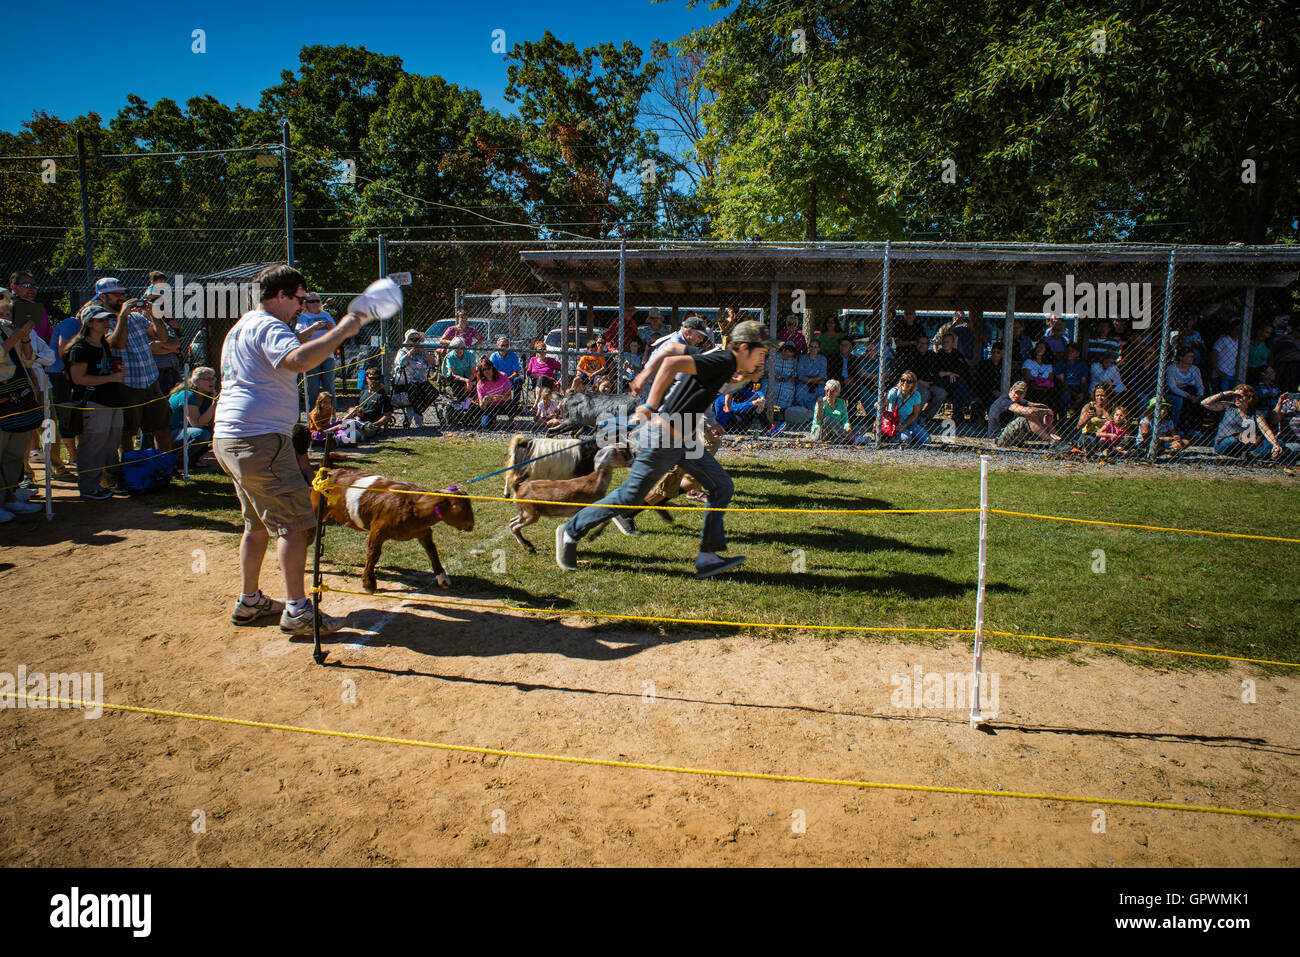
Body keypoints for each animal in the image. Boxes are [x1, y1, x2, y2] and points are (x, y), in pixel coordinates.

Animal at [312, 468, 475, 592]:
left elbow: (432, 551)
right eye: (460, 506)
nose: (472, 524)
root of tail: (328, 473)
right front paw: (368, 583)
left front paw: (443, 578)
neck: (413, 506)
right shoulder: (377, 530)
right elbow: (373, 554)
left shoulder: (423, 532)